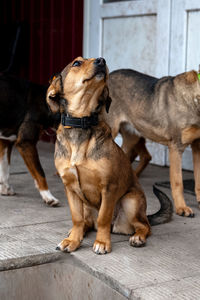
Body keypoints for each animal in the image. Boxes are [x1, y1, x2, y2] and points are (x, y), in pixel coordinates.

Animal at [0, 74, 59, 206]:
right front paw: (48, 196)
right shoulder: (26, 143)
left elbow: (5, 169)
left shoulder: (6, 142)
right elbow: (40, 172)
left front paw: (5, 189)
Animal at [46, 56, 172, 253]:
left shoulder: (109, 187)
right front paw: (73, 240)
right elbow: (77, 218)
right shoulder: (70, 188)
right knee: (86, 222)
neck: (81, 122)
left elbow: (103, 218)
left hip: (131, 202)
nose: (101, 60)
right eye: (76, 63)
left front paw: (102, 242)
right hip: (86, 204)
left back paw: (138, 237)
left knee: (144, 226)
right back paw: (76, 233)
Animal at [105, 69, 200, 217]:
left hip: (132, 137)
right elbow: (178, 182)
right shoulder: (176, 147)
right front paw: (181, 207)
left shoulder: (197, 146)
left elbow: (198, 180)